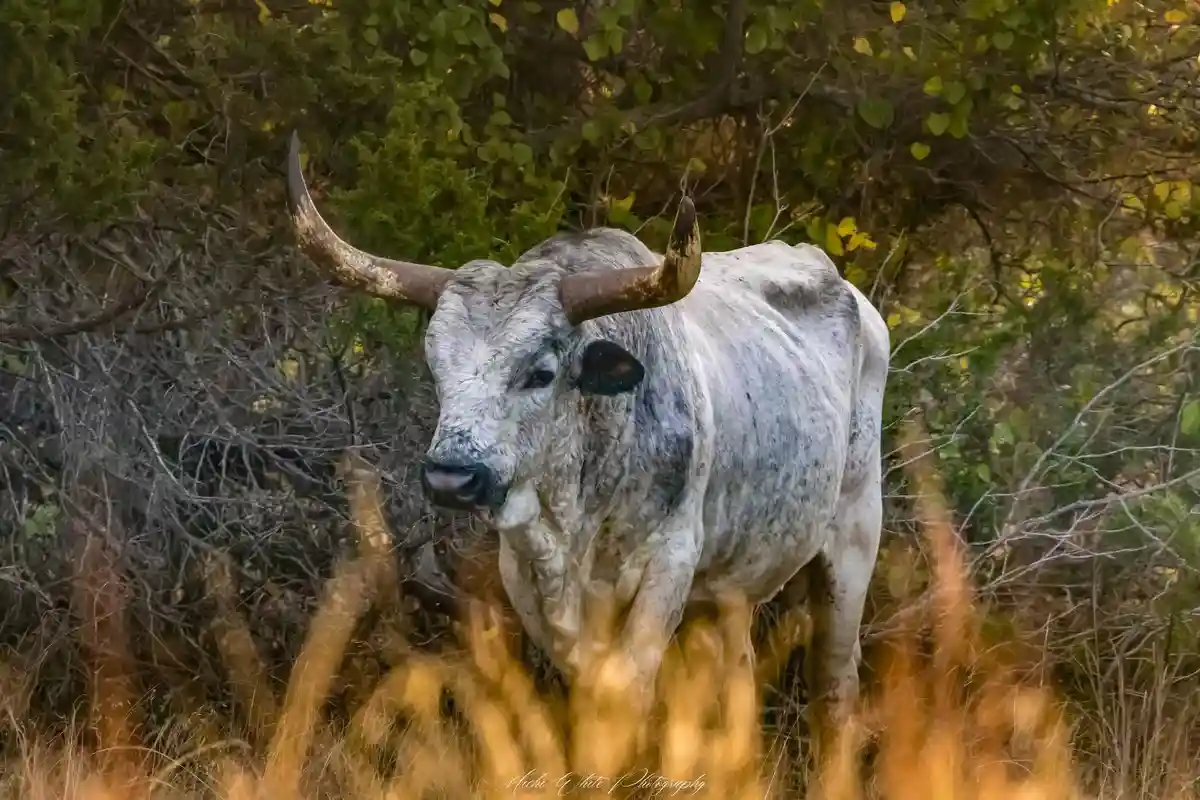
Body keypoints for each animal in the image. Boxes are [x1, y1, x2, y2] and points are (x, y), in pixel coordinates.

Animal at [285, 132, 890, 760]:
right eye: (436, 367)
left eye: (541, 372)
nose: (452, 476)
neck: (578, 513)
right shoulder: (528, 578)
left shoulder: (669, 566)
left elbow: (626, 696)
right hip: (731, 589)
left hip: (854, 538)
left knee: (834, 685)